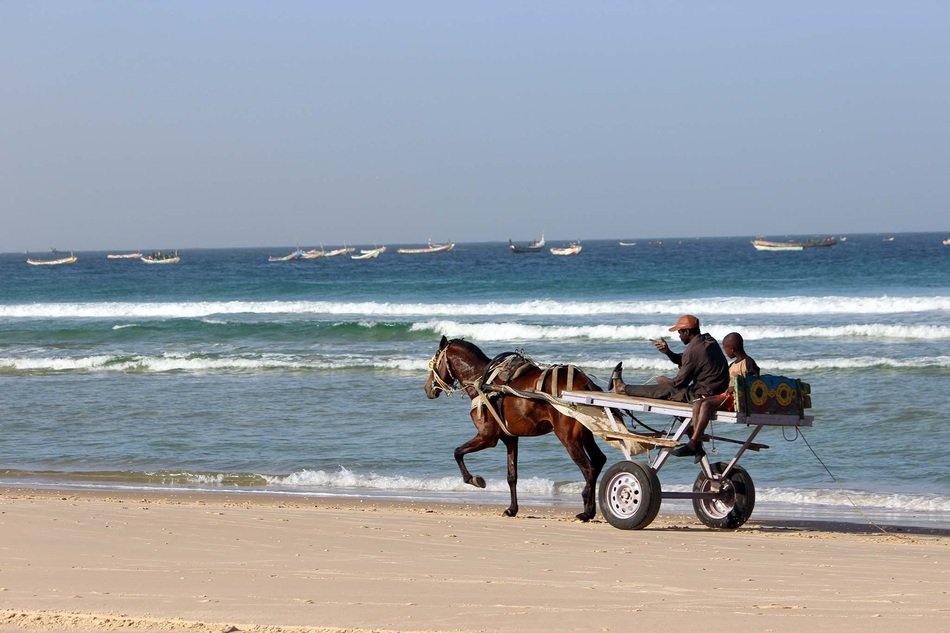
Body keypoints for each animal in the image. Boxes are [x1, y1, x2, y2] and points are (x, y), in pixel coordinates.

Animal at [426, 334, 608, 520]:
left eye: (434, 363)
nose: (428, 388)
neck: (483, 380)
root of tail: (585, 384)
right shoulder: (510, 438)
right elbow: (512, 476)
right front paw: (512, 509)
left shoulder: (487, 437)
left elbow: (457, 452)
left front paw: (474, 479)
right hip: (585, 433)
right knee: (598, 461)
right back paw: (589, 506)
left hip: (568, 437)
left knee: (588, 469)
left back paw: (587, 510)